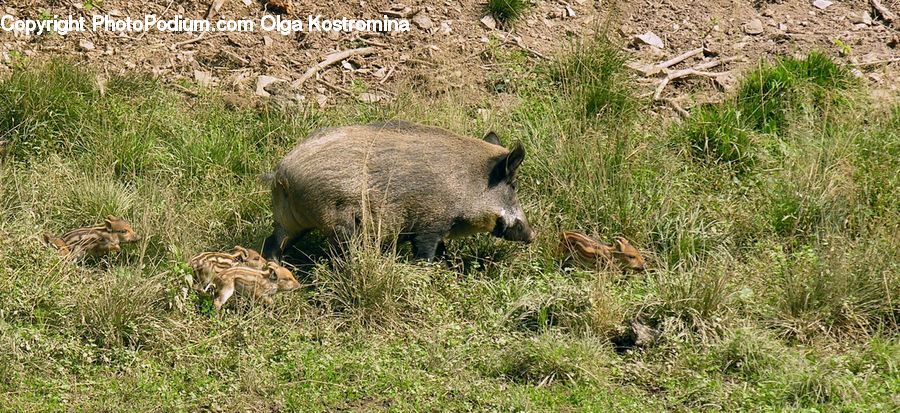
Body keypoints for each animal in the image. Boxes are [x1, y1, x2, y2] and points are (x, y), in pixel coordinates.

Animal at [261, 120, 536, 262]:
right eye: (513, 185)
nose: (533, 235)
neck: (466, 185)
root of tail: (283, 173)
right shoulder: (429, 223)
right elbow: (427, 252)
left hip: (290, 220)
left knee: (272, 242)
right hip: (338, 222)